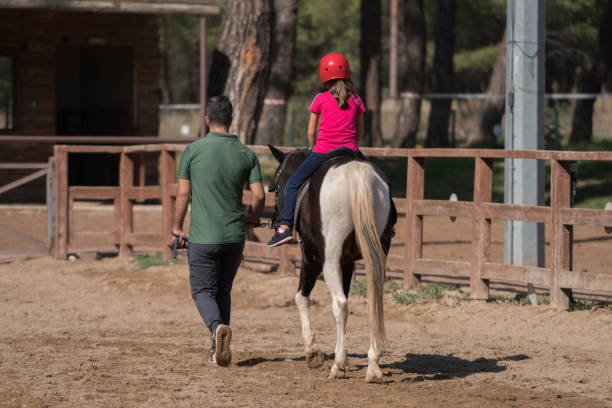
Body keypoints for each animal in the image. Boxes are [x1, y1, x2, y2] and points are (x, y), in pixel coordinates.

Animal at [268, 145, 396, 380]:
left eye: (277, 181)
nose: (275, 220)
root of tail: (356, 173)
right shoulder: (347, 263)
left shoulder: (310, 258)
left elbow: (301, 297)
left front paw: (312, 351)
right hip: (376, 254)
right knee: (374, 301)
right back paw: (373, 366)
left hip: (329, 260)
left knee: (340, 304)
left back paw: (338, 365)